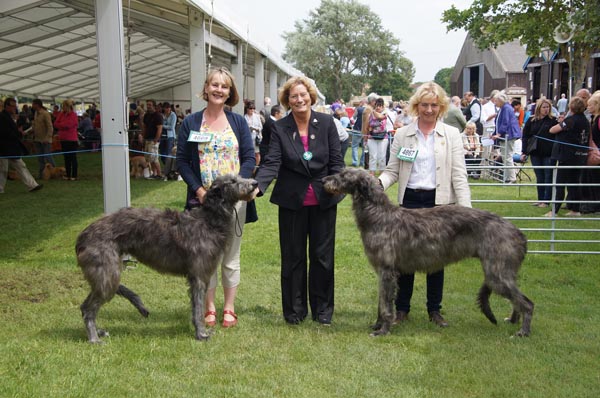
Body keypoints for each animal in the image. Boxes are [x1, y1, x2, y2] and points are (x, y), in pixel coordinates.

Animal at [75, 174, 258, 342]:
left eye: (239, 176)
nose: (255, 183)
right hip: (107, 274)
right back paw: (94, 338)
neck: (208, 221)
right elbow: (198, 309)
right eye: (233, 181)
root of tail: (82, 237)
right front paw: (201, 334)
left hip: (104, 274)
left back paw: (98, 331)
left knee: (85, 306)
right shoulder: (199, 276)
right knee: (89, 309)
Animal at [324, 166, 536, 338]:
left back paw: (523, 331)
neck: (379, 215)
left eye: (343, 175)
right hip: (501, 272)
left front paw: (382, 330)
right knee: (517, 299)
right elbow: (381, 303)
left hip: (497, 273)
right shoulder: (384, 272)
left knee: (527, 303)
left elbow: (385, 306)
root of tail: (519, 234)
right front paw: (377, 325)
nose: (324, 180)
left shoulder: (387, 271)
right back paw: (513, 320)